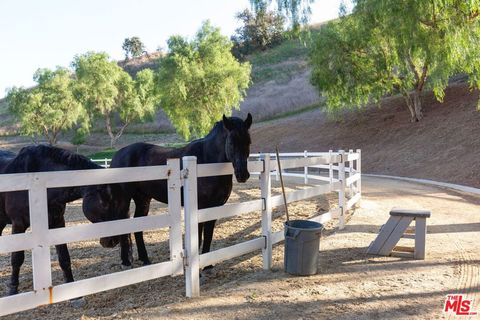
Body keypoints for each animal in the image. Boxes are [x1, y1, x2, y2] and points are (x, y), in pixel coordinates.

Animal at [104, 114, 253, 266]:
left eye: (248, 142)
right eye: (231, 143)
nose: (242, 175)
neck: (206, 162)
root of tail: (117, 155)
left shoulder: (214, 207)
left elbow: (208, 234)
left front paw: (207, 265)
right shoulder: (199, 207)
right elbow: (199, 236)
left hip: (143, 199)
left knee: (137, 227)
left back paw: (145, 259)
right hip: (124, 199)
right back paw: (126, 261)